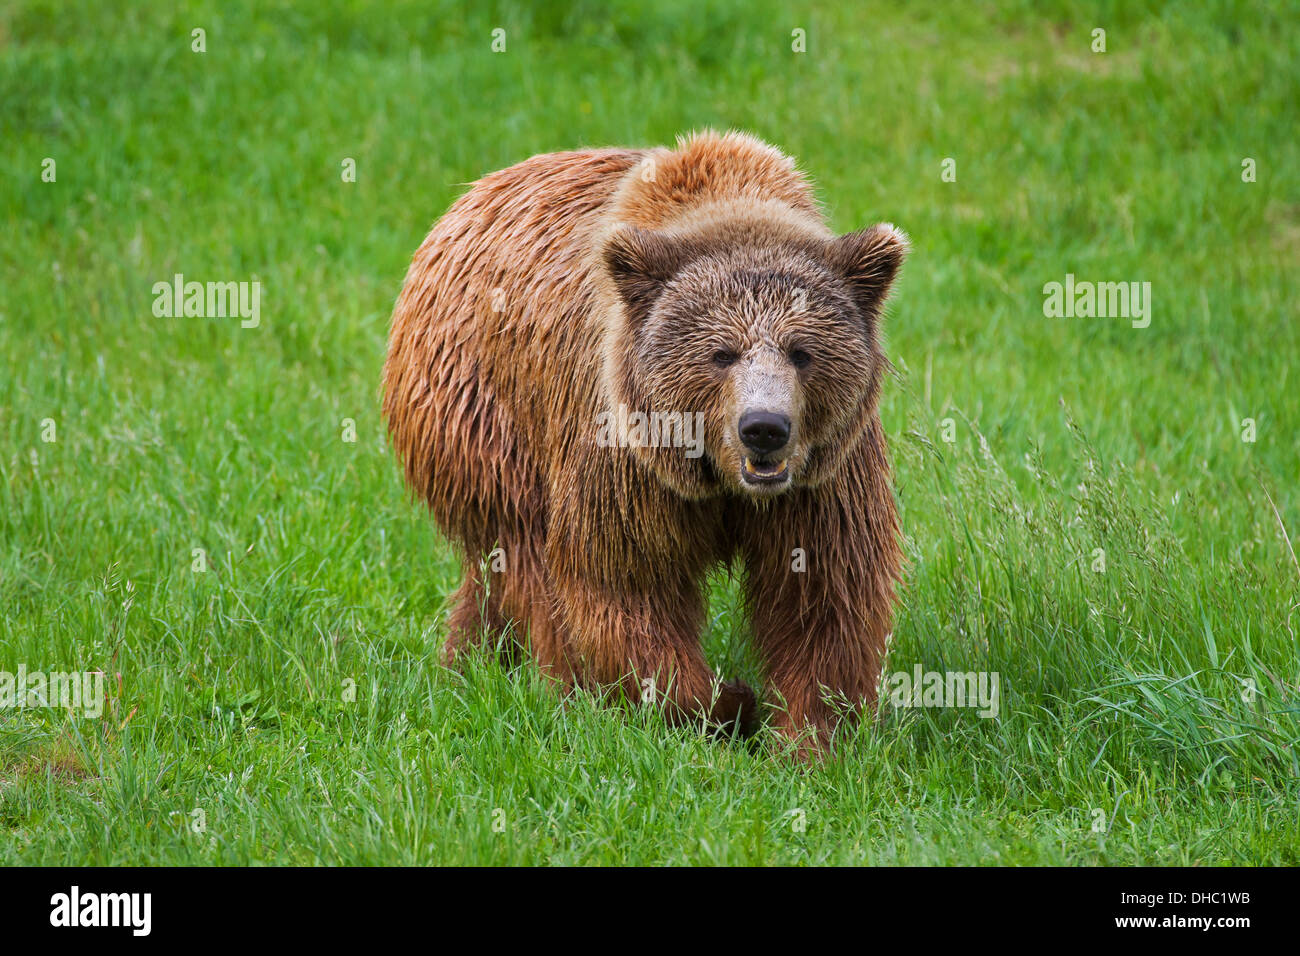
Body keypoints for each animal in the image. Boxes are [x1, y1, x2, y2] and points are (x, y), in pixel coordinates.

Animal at [382, 128, 904, 754]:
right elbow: (625, 584)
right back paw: (553, 684)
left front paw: (810, 738)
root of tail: (469, 198)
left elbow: (823, 592)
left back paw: (467, 659)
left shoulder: (822, 473)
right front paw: (723, 703)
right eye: (721, 353)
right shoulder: (628, 458)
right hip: (483, 412)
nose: (764, 428)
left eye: (802, 351)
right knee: (526, 556)